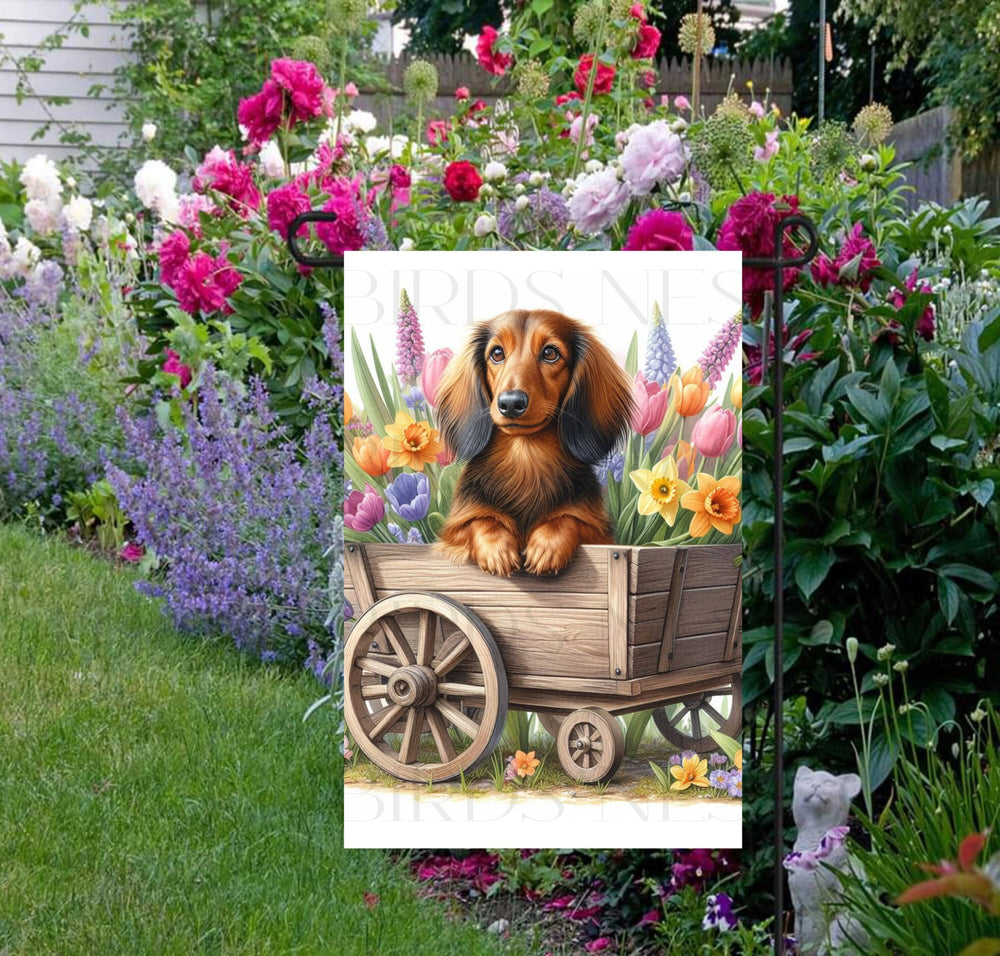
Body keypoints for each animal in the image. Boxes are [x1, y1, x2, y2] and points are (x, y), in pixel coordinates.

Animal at [432, 312, 632, 576]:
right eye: (497, 353)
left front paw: (546, 546)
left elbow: (569, 518)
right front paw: (497, 549)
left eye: (550, 353)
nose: (510, 403)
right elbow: (480, 520)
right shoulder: (452, 532)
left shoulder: (599, 533)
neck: (526, 456)